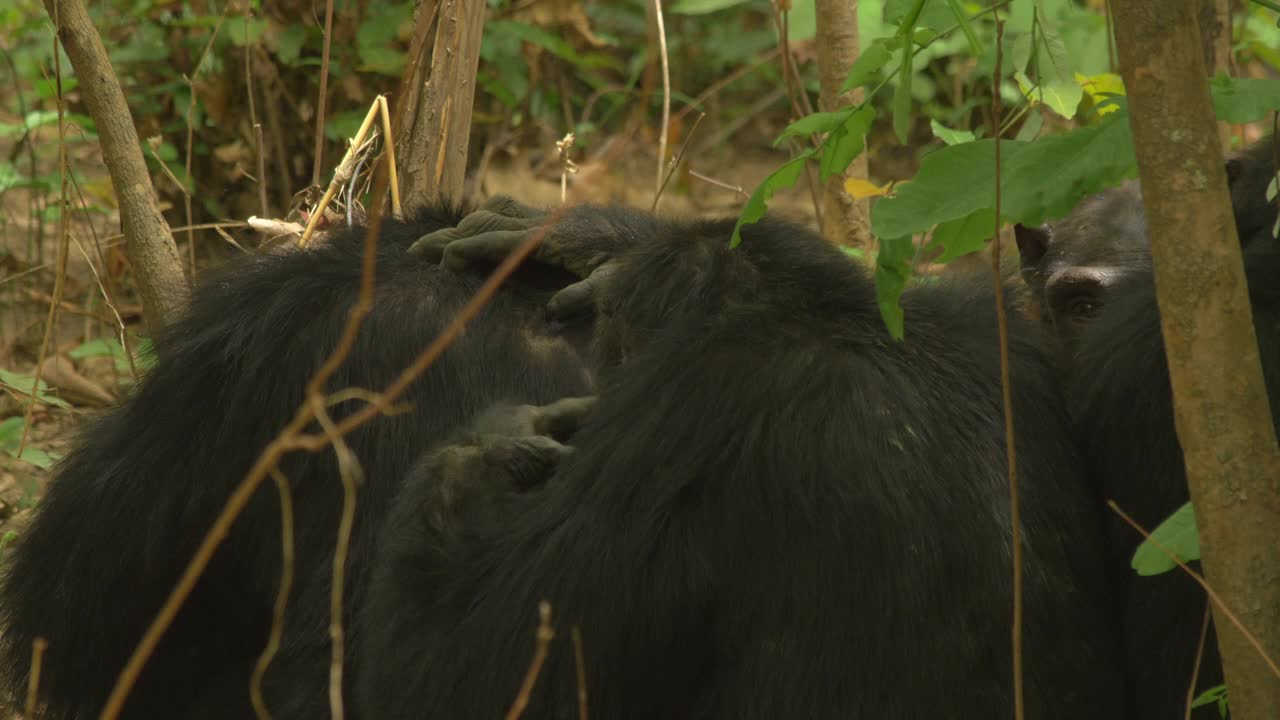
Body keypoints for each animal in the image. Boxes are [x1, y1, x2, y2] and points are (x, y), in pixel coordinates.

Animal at [355, 198, 1126, 712]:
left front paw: (492, 442)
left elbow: (470, 663)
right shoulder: (1001, 328)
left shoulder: (679, 422)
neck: (831, 322)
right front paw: (593, 239)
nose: (602, 385)